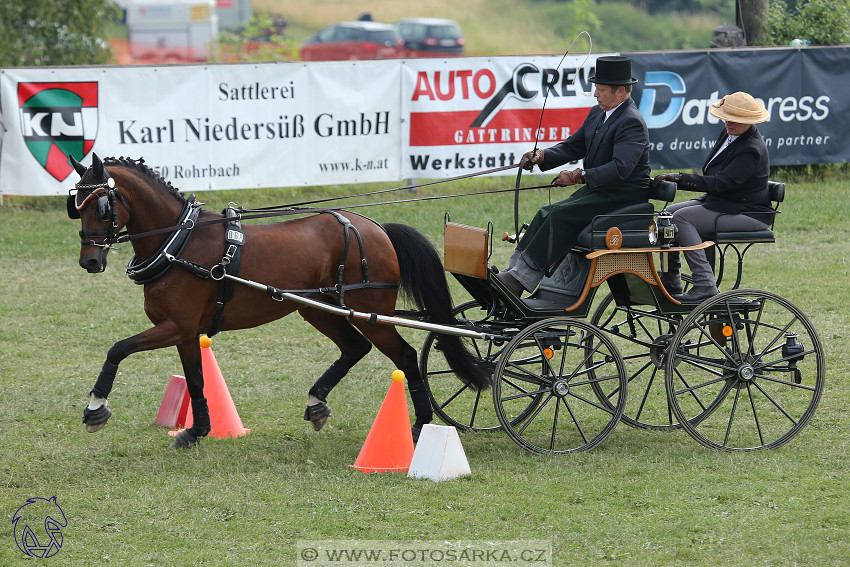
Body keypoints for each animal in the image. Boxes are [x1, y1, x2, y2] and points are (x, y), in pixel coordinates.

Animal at [68, 154, 486, 448]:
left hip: (368, 313)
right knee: (355, 348)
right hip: (318, 309)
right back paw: (317, 402)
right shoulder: (185, 333)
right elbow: (196, 380)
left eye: (101, 206)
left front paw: (95, 408)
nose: (89, 261)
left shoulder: (175, 326)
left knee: (405, 356)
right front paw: (197, 430)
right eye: (76, 206)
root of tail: (376, 228)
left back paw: (418, 424)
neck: (179, 243)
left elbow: (118, 349)